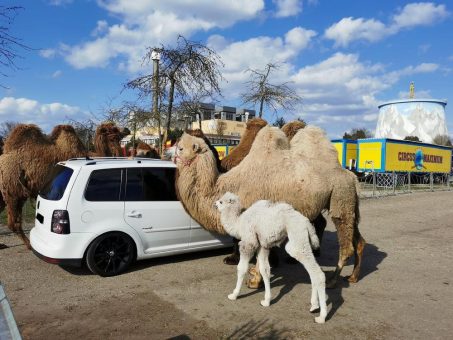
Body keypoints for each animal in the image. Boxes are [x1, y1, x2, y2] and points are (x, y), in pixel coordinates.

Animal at [175, 125, 366, 286]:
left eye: (181, 147)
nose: (172, 153)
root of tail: (351, 175)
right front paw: (256, 278)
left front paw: (255, 280)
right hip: (348, 201)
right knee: (358, 240)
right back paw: (353, 276)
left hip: (341, 196)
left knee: (346, 244)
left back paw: (332, 280)